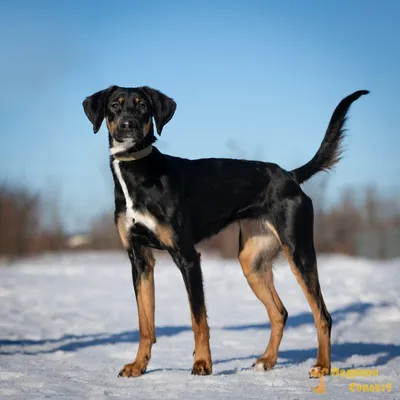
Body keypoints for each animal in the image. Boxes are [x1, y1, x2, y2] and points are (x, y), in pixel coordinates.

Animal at [81, 86, 368, 378]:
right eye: (115, 105)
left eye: (142, 106)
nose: (127, 125)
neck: (138, 173)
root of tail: (290, 176)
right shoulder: (139, 260)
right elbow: (145, 322)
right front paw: (138, 365)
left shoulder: (187, 257)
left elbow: (198, 319)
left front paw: (203, 363)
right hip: (252, 263)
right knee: (280, 312)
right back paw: (268, 359)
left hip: (299, 252)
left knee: (322, 315)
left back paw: (322, 366)